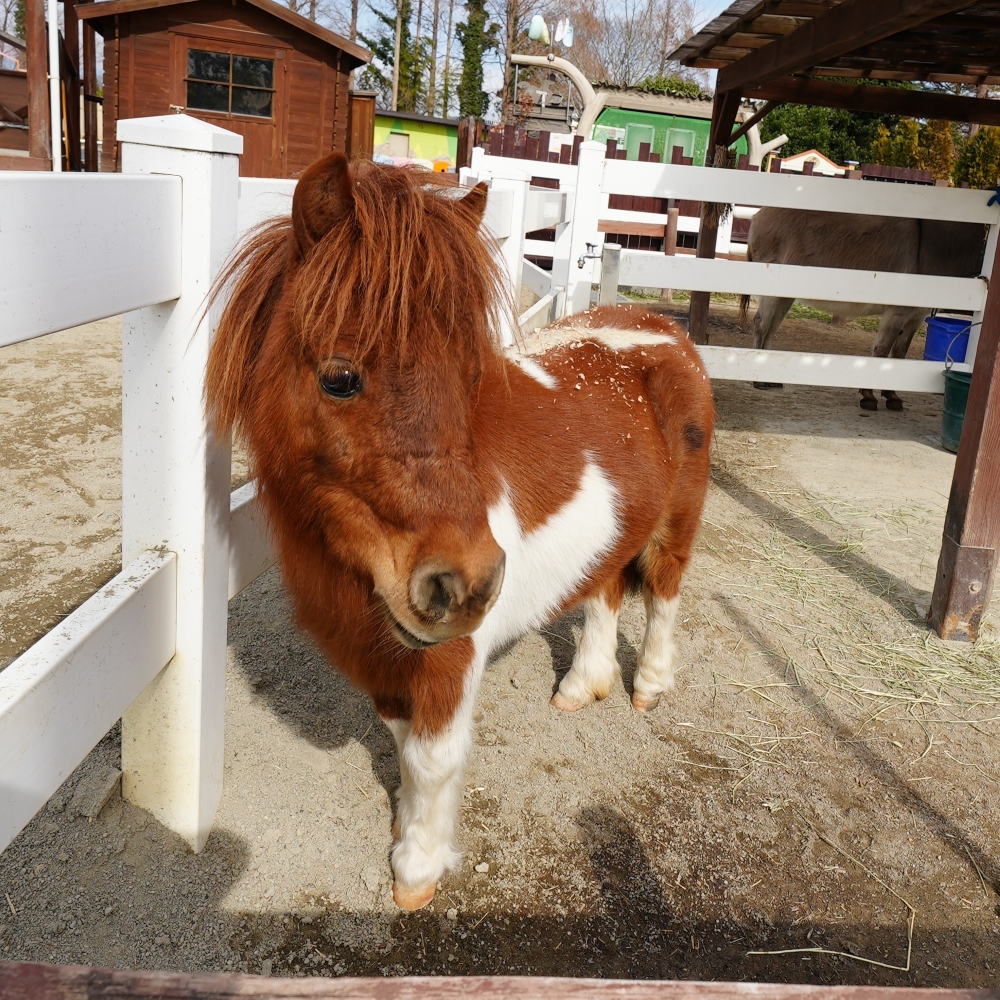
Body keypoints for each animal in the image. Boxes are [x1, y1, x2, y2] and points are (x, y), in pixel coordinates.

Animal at [207, 152, 716, 912]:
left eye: (470, 373)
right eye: (339, 378)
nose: (467, 582)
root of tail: (662, 330)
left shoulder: (450, 657)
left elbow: (431, 756)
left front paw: (416, 869)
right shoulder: (385, 657)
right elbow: (398, 740)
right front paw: (405, 825)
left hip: (674, 528)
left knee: (663, 593)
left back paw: (648, 684)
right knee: (604, 594)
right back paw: (583, 685)